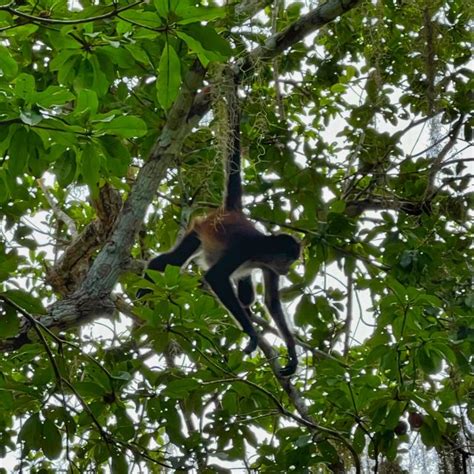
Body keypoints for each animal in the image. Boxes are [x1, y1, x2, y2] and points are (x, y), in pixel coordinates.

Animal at [138, 82, 300, 378]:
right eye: (291, 260)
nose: (289, 270)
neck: (263, 251)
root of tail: (231, 212)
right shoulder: (244, 250)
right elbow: (215, 277)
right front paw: (252, 334)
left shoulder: (269, 267)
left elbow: (272, 301)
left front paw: (292, 353)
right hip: (200, 228)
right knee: (172, 260)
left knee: (245, 292)